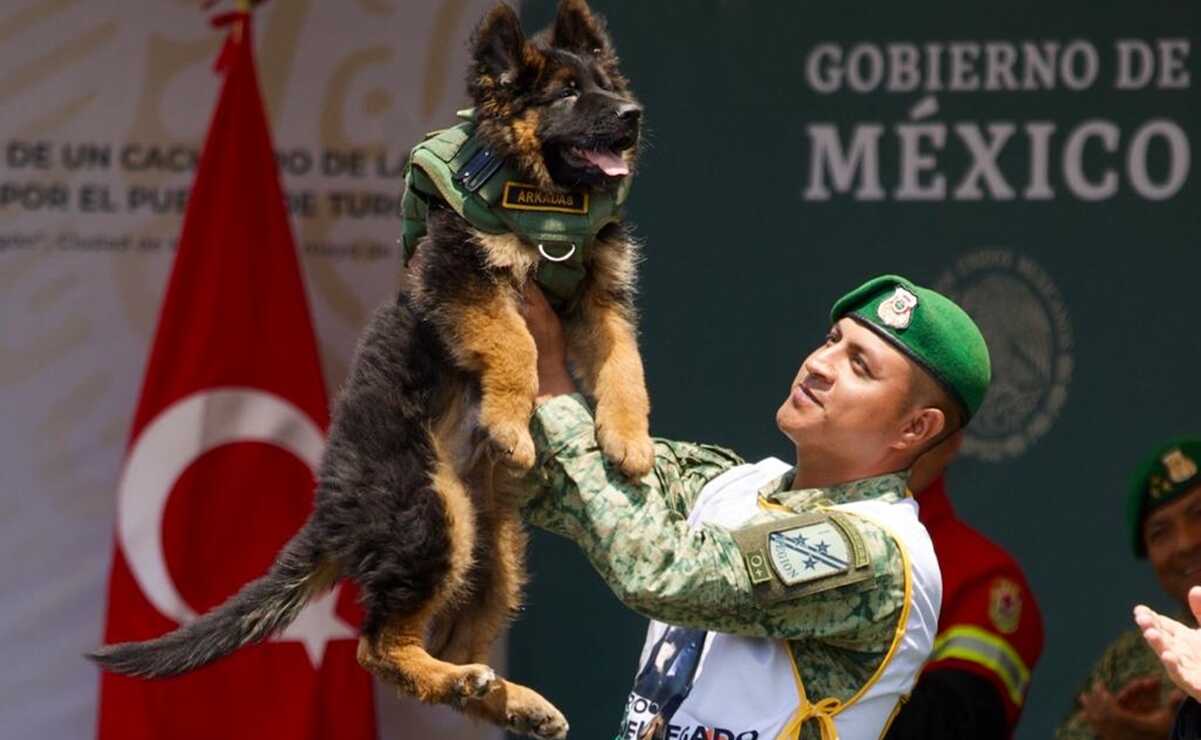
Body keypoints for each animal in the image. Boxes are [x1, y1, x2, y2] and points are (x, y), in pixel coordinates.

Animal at [87, 2, 648, 735]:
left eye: (605, 86)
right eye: (566, 94)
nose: (633, 116)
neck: (546, 206)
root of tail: (332, 511)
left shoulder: (600, 297)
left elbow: (623, 367)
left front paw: (630, 442)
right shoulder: (461, 275)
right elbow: (515, 346)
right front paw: (508, 420)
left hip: (491, 547)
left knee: (445, 643)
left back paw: (506, 697)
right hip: (429, 514)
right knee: (376, 649)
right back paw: (469, 679)